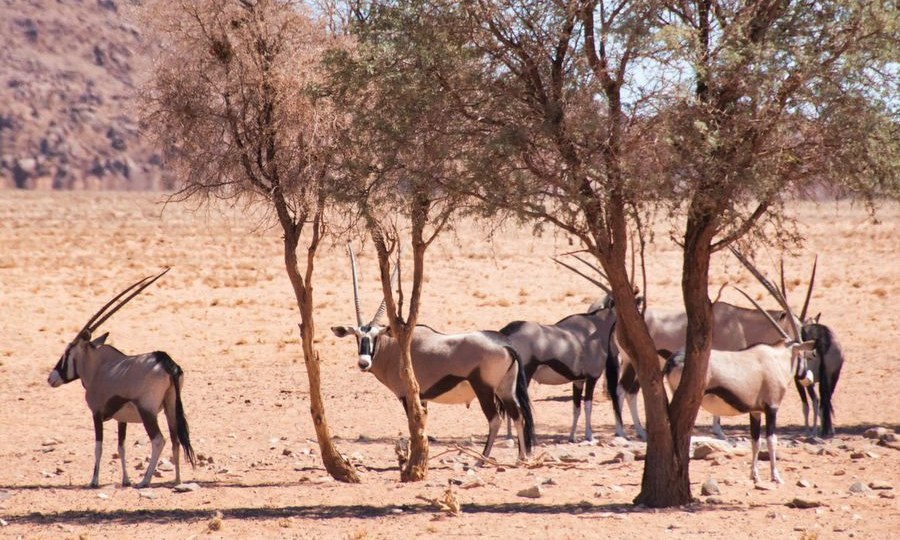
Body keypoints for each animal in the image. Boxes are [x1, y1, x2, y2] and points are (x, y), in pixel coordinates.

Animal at [48, 269, 195, 488]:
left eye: (67, 352)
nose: (51, 378)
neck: (99, 367)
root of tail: (166, 362)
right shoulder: (121, 419)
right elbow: (121, 447)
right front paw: (125, 479)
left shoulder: (96, 413)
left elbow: (98, 446)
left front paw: (94, 481)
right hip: (170, 406)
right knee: (175, 439)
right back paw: (177, 480)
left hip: (147, 411)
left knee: (159, 440)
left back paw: (145, 481)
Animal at [331, 245, 535, 461]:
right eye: (357, 336)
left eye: (375, 336)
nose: (363, 363)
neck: (394, 347)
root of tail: (505, 345)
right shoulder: (422, 398)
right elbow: (422, 427)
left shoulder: (408, 396)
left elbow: (414, 427)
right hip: (505, 389)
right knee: (518, 416)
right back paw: (522, 457)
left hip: (484, 389)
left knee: (495, 419)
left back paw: (482, 459)